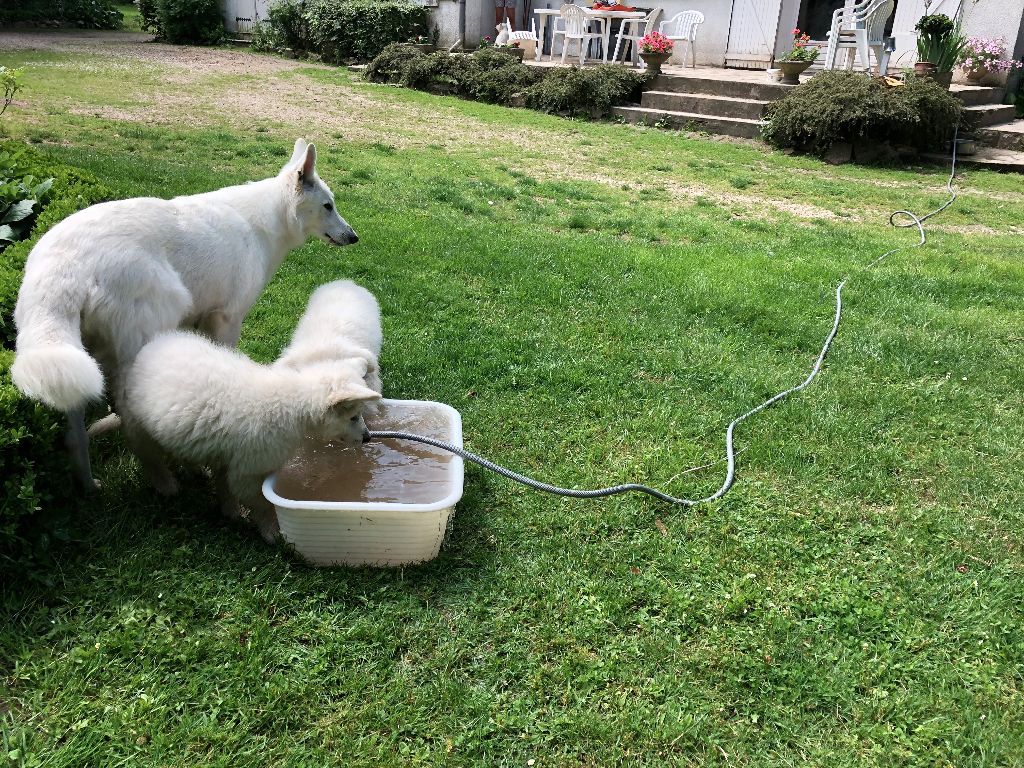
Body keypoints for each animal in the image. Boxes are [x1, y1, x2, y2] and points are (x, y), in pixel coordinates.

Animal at [9, 138, 356, 487]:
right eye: (328, 206)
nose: (354, 237)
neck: (266, 221)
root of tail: (64, 264)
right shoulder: (228, 320)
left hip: (83, 356)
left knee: (75, 427)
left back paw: (89, 483)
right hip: (153, 327)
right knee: (129, 416)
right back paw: (165, 480)